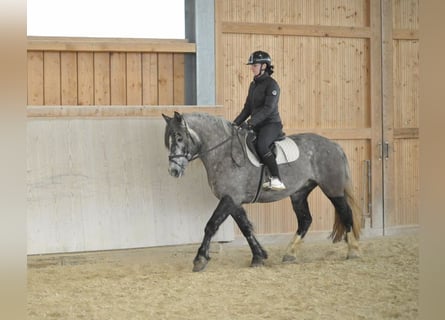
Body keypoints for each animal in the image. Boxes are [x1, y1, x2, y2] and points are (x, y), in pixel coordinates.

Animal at [161, 111, 360, 272]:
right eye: (168, 141)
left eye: (179, 137)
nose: (174, 171)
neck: (224, 153)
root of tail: (334, 145)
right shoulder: (233, 200)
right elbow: (246, 227)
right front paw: (259, 256)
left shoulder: (230, 198)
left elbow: (211, 225)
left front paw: (200, 259)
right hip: (299, 193)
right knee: (305, 221)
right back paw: (290, 254)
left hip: (333, 189)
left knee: (346, 213)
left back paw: (354, 251)